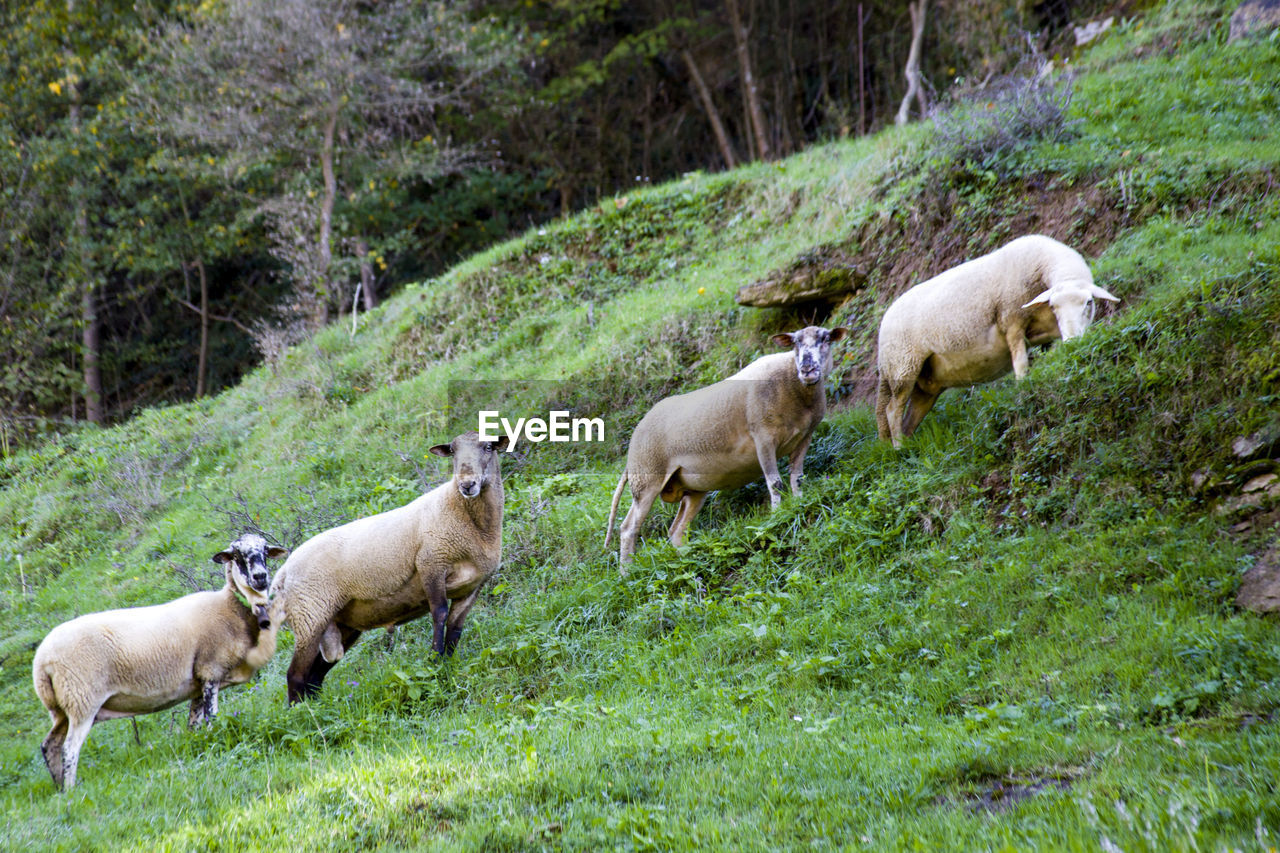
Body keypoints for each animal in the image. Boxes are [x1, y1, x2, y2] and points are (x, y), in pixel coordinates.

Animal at [30, 535, 288, 788]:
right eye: (237, 555)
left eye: (265, 551)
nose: (260, 577)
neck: (232, 608)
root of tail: (41, 661)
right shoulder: (210, 671)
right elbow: (212, 718)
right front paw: (215, 740)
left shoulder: (197, 684)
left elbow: (194, 725)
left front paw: (200, 746)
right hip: (82, 700)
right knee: (69, 749)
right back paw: (71, 789)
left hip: (61, 708)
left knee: (49, 745)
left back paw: (60, 789)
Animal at [272, 427, 506, 701]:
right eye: (452, 451)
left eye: (488, 447)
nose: (467, 484)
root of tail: (282, 573)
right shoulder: (431, 564)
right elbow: (439, 613)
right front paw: (434, 662)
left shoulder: (472, 586)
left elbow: (455, 628)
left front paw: (448, 665)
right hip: (310, 616)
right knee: (295, 675)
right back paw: (302, 711)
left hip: (341, 623)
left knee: (315, 676)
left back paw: (319, 706)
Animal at [601, 325, 844, 571]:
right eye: (795, 343)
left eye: (825, 339)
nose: (807, 369)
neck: (795, 388)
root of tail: (637, 431)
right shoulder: (763, 438)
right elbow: (775, 483)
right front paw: (778, 514)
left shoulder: (805, 436)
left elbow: (797, 478)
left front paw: (798, 503)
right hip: (647, 477)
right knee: (628, 528)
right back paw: (627, 571)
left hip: (693, 487)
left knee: (676, 530)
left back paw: (686, 558)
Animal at [875, 233, 1116, 445]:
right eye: (1054, 306)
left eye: (1088, 303)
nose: (1073, 341)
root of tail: (884, 321)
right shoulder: (1011, 320)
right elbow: (1021, 364)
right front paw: (1023, 391)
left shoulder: (1046, 333)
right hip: (903, 367)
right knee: (892, 411)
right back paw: (900, 447)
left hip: (926, 383)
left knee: (908, 419)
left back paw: (906, 449)